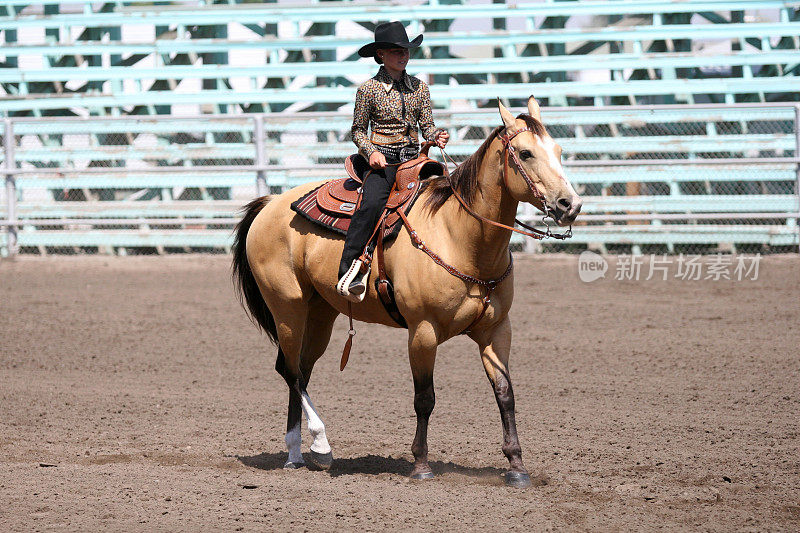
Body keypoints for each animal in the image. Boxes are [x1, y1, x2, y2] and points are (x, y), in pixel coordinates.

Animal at [231, 95, 580, 486]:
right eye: (524, 153)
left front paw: (517, 467)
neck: (460, 237)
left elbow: (505, 394)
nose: (570, 205)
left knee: (301, 371)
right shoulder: (422, 331)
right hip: (286, 307)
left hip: (320, 312)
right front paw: (421, 465)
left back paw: (295, 455)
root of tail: (270, 204)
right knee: (289, 370)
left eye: (558, 150)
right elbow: (424, 397)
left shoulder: (496, 330)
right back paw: (321, 445)